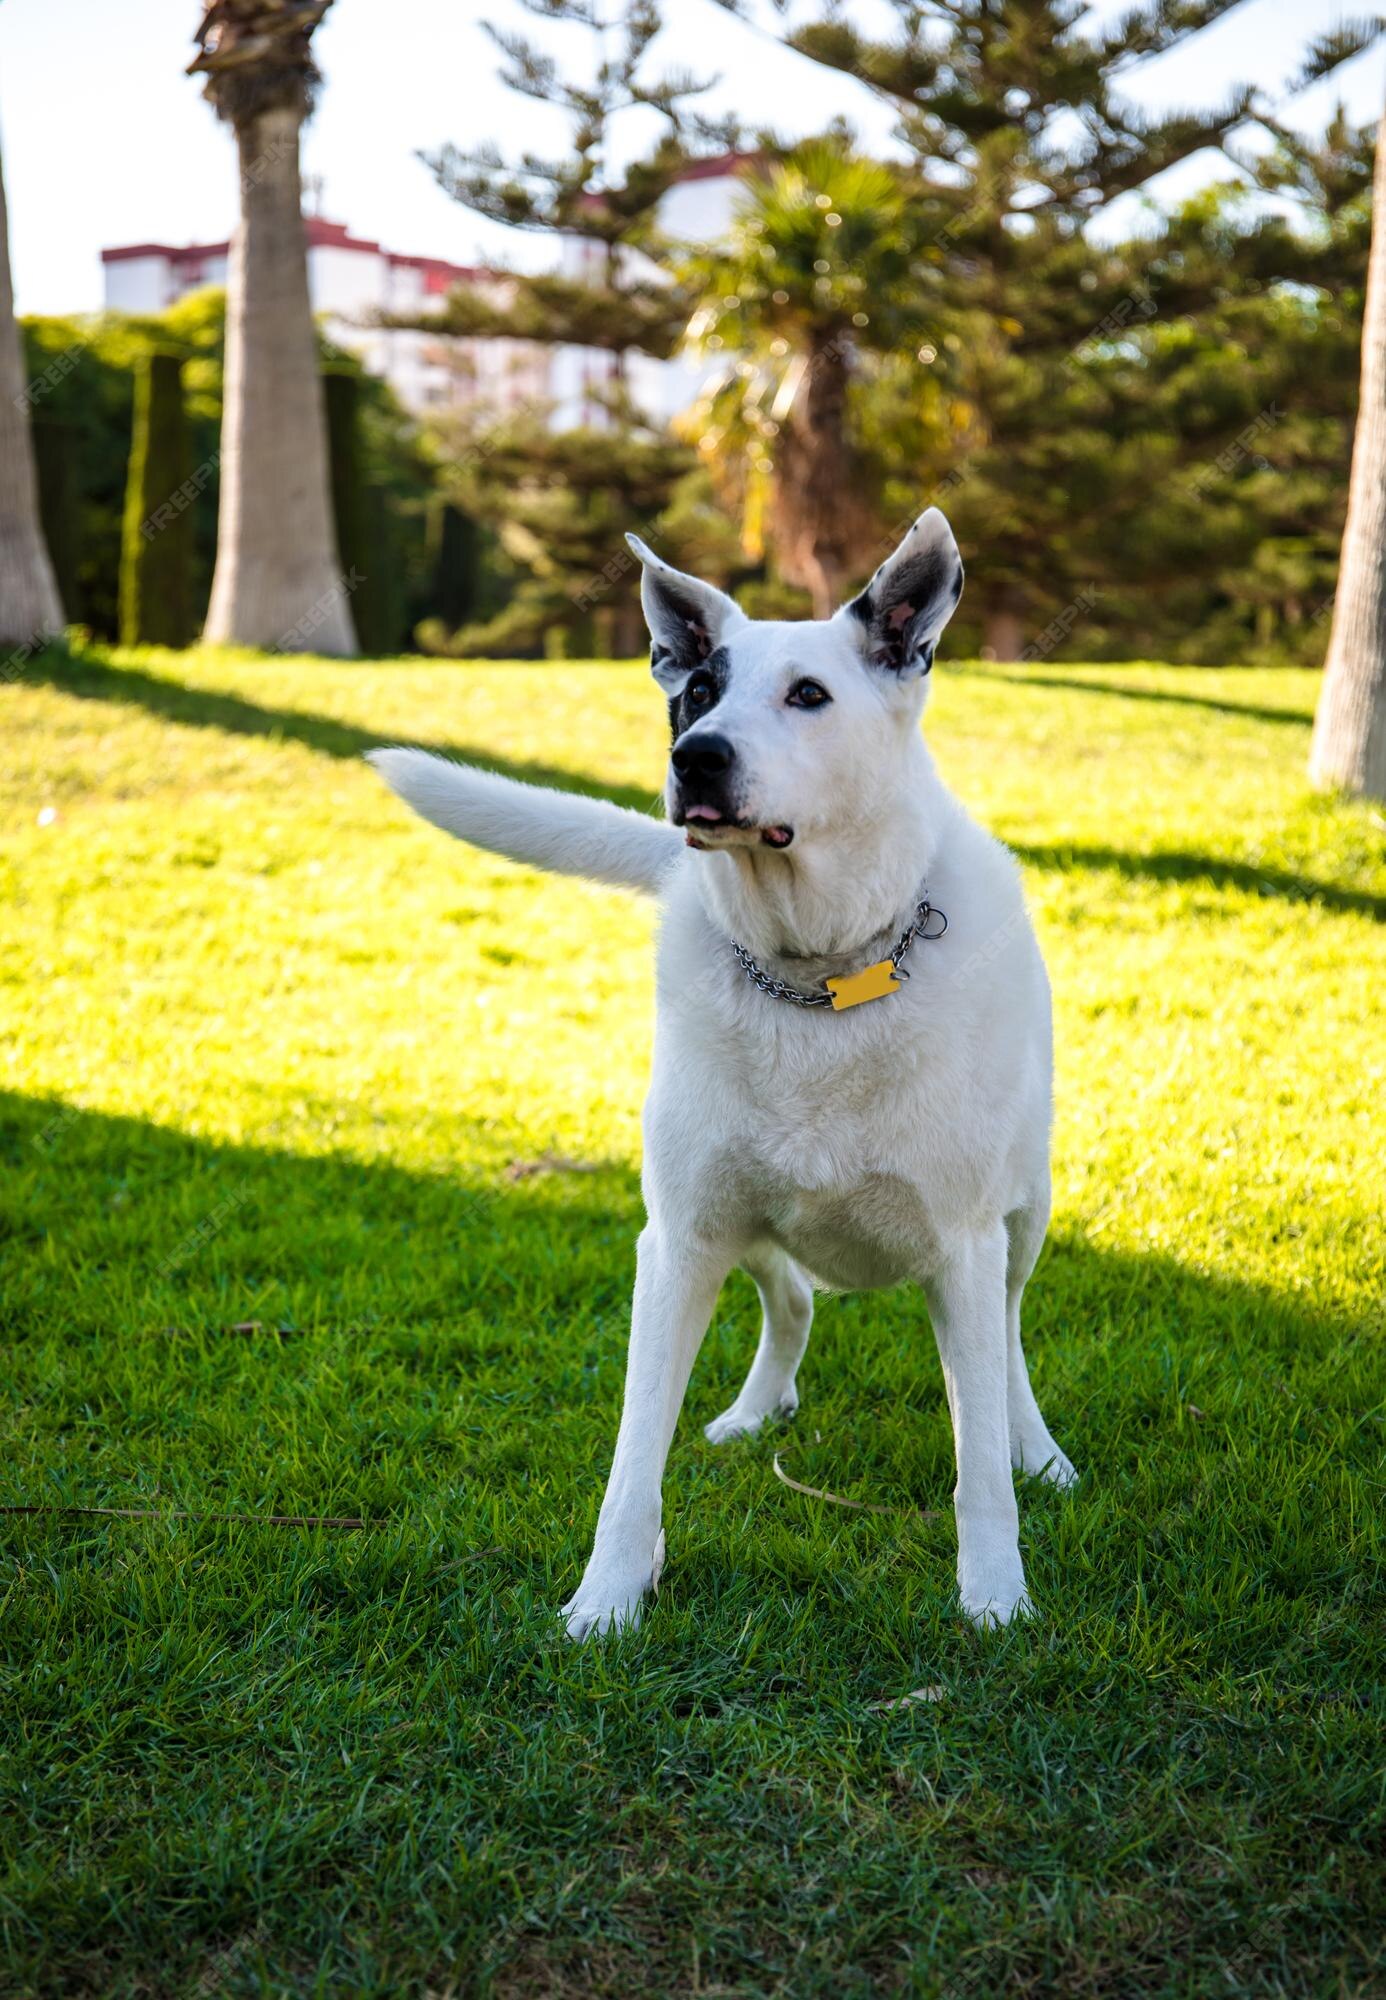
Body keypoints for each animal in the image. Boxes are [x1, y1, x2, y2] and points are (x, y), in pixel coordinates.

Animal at [364, 508, 1072, 1632]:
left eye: (809, 694)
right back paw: (753, 1410)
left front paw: (996, 1597)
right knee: (795, 1298)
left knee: (1004, 1345)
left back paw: (1039, 1449)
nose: (694, 758)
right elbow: (632, 1453)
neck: (817, 973)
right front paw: (607, 1600)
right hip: (747, 1215)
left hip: (1023, 1214)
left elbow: (980, 1463)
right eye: (697, 688)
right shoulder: (679, 1240)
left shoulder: (962, 1243)